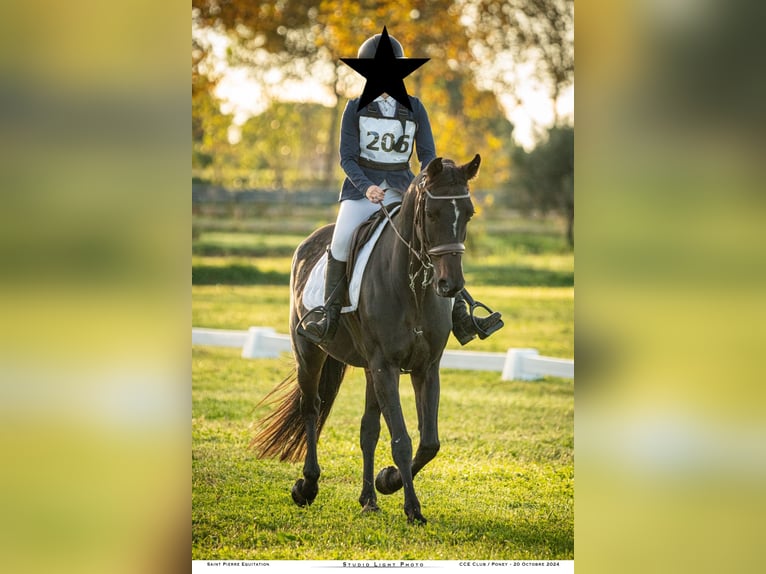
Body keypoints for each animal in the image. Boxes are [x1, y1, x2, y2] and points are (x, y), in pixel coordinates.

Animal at [252, 154, 481, 524]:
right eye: (432, 213)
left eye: (469, 212)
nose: (450, 286)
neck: (412, 288)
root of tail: (309, 242)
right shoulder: (385, 366)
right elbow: (401, 439)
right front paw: (412, 508)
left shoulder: (425, 368)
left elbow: (428, 442)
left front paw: (387, 481)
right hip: (309, 353)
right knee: (311, 408)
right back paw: (308, 486)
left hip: (370, 370)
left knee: (368, 429)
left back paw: (369, 499)